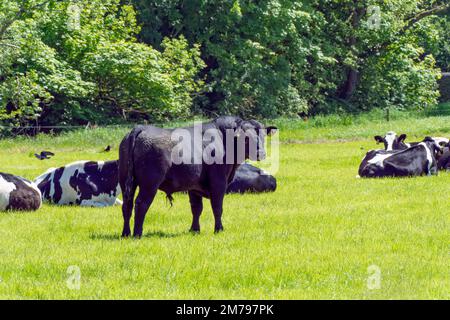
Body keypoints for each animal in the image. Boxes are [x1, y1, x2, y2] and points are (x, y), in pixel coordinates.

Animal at [118, 117, 276, 238]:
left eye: (263, 136)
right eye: (246, 138)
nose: (261, 153)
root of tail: (140, 128)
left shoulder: (193, 186)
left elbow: (196, 208)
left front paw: (194, 230)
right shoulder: (219, 182)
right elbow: (217, 207)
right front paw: (219, 229)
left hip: (125, 181)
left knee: (127, 205)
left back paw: (125, 233)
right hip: (150, 184)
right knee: (141, 204)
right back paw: (137, 233)